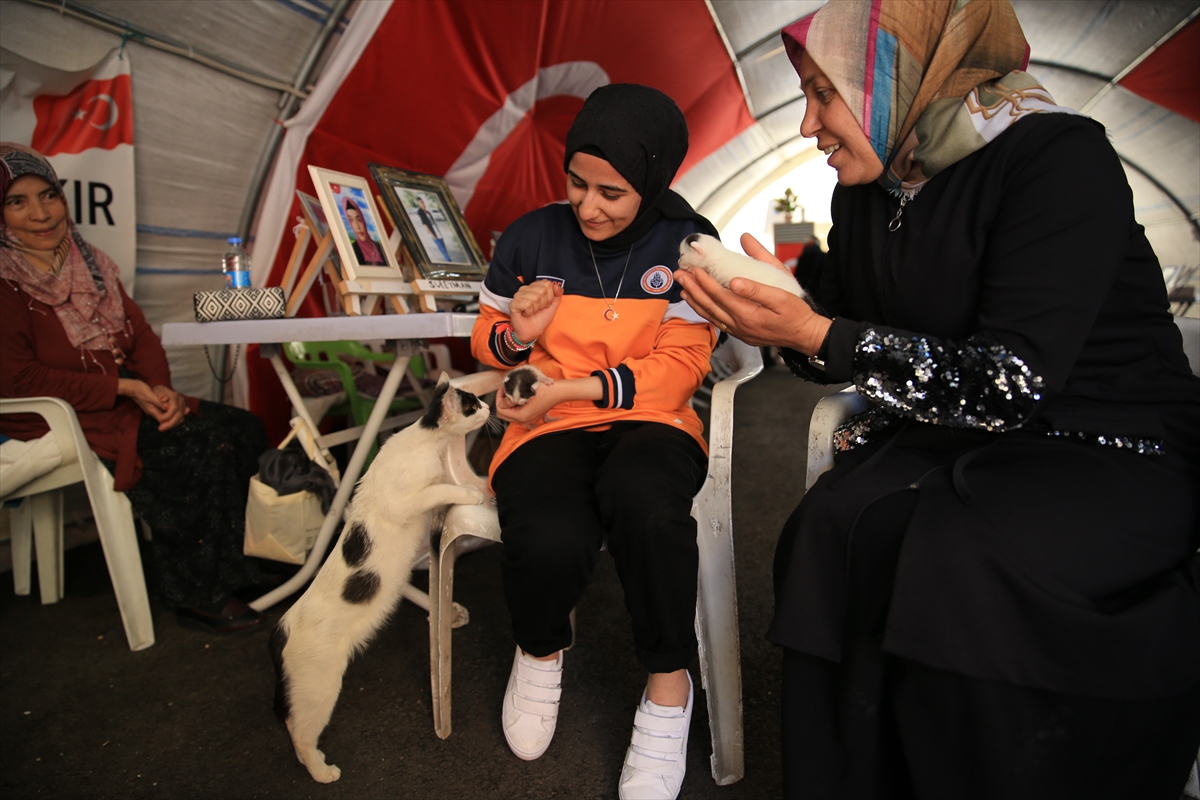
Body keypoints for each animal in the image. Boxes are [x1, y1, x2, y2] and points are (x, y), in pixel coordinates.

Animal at [272, 376, 492, 782]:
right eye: (472, 406)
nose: (489, 407)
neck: (423, 440)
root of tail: (283, 627)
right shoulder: (407, 499)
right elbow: (443, 487)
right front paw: (472, 492)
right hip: (319, 688)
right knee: (298, 731)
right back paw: (321, 771)